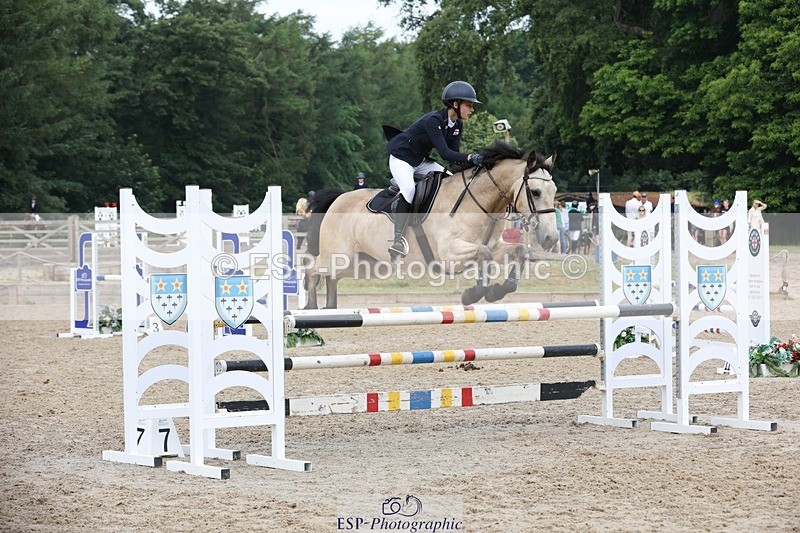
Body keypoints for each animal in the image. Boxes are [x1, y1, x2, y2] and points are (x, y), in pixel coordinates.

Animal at [302, 142, 558, 309]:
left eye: (554, 191)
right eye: (535, 192)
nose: (552, 238)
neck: (478, 201)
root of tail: (338, 198)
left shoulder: (493, 246)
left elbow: (518, 251)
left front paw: (498, 291)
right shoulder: (449, 253)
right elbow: (483, 254)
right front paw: (473, 294)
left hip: (365, 264)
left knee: (331, 277)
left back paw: (329, 308)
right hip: (339, 255)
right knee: (311, 269)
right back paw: (311, 308)